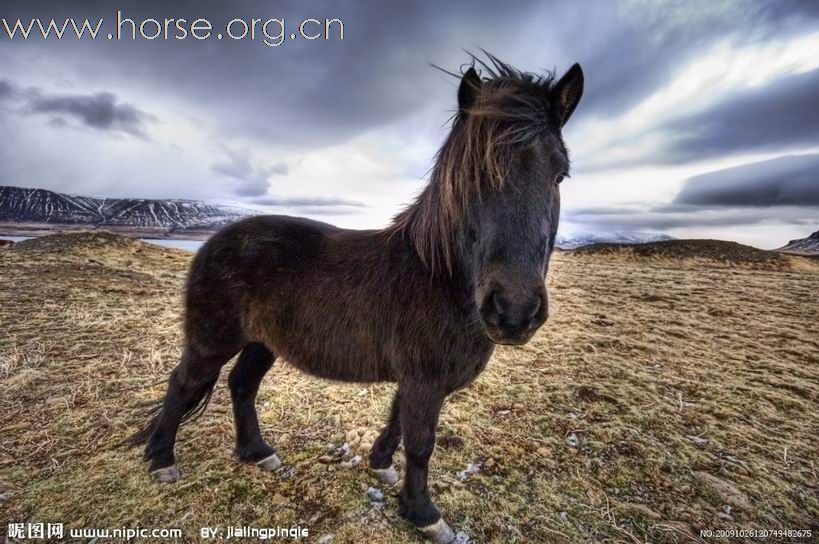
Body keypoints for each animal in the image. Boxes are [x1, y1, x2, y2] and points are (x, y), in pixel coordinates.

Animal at [126, 52, 584, 544]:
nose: (514, 310)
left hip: (262, 343)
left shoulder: (417, 378)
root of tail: (213, 240)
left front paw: (381, 467)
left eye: (560, 174)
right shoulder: (424, 379)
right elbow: (420, 442)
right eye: (474, 176)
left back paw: (258, 452)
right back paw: (162, 460)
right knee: (183, 384)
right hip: (212, 340)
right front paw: (424, 513)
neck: (437, 276)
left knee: (242, 385)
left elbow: (397, 420)